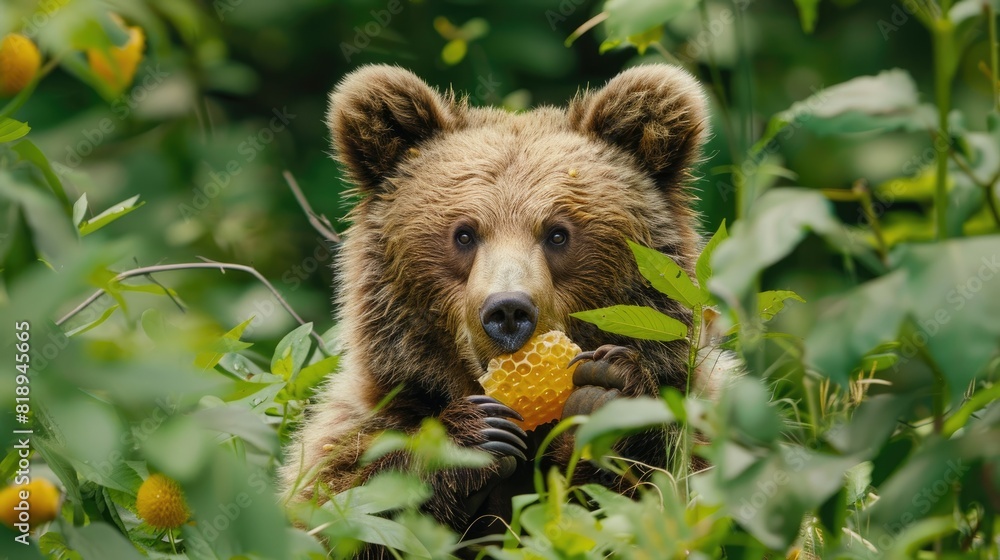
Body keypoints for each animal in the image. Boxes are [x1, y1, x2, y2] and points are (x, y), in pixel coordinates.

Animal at [280, 63, 732, 556]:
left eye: (558, 233)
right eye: (463, 234)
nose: (509, 312)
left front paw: (607, 392)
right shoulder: (364, 423)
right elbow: (343, 507)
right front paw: (475, 433)